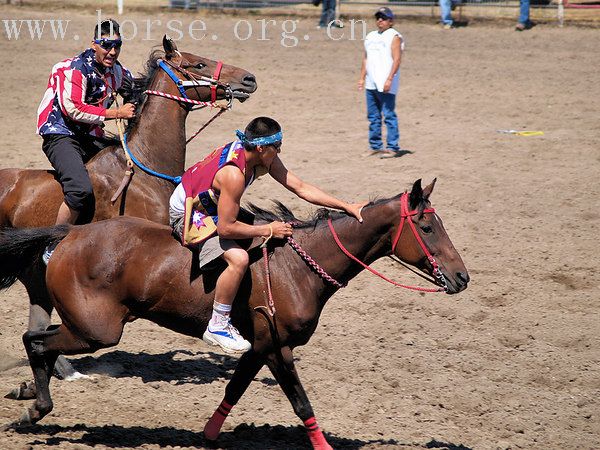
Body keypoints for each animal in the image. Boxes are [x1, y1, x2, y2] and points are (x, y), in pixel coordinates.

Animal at [0, 179, 468, 450]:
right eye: (427, 227)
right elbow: (300, 401)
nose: (462, 277)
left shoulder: (259, 346)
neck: (297, 265)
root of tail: (68, 233)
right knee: (34, 341)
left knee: (40, 342)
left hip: (86, 327)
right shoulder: (277, 347)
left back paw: (31, 399)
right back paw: (35, 407)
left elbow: (235, 388)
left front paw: (209, 435)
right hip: (96, 330)